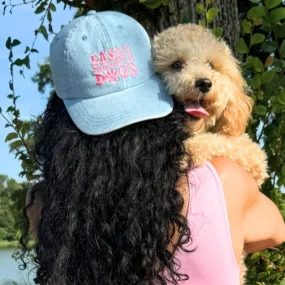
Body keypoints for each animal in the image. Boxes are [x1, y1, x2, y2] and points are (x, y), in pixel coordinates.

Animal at [152, 23, 268, 282]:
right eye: (176, 64)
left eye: (212, 65)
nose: (204, 83)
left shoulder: (254, 156)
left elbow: (221, 140)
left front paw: (188, 150)